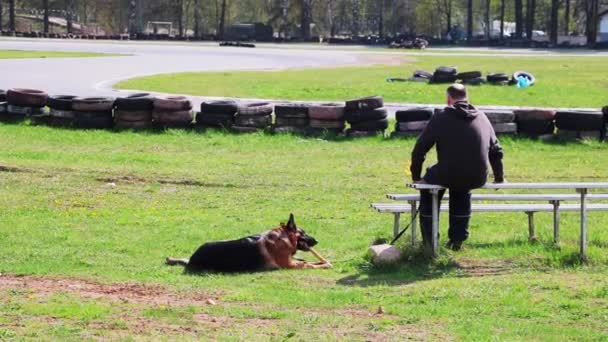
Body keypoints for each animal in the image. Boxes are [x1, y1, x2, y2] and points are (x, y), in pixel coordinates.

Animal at [165, 214, 332, 272]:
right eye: (303, 233)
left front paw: (322, 262)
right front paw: (324, 265)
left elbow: (306, 260)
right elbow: (307, 264)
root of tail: (192, 259)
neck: (282, 237)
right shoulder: (289, 265)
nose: (317, 240)